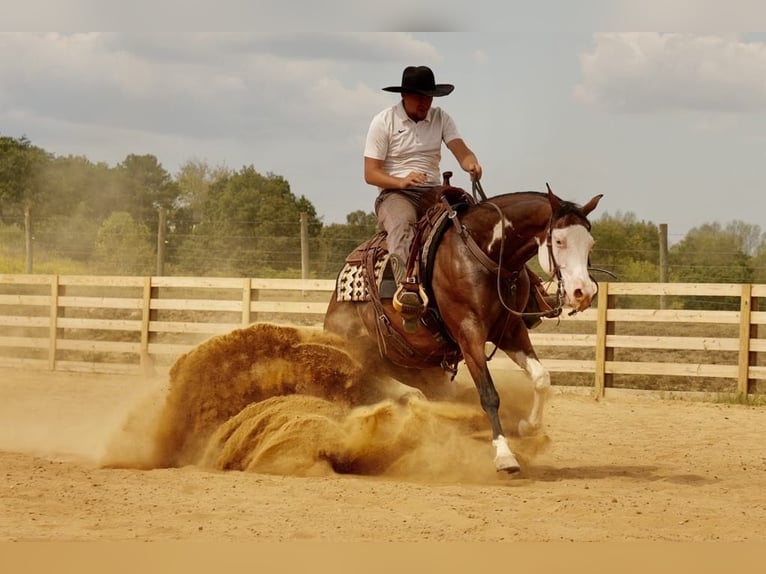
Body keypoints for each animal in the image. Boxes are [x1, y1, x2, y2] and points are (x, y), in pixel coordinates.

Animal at [320, 182, 604, 474]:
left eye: (590, 243)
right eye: (559, 241)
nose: (584, 292)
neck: (484, 255)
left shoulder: (511, 330)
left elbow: (541, 378)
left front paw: (527, 426)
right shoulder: (469, 334)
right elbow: (489, 395)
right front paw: (504, 455)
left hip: (415, 369)